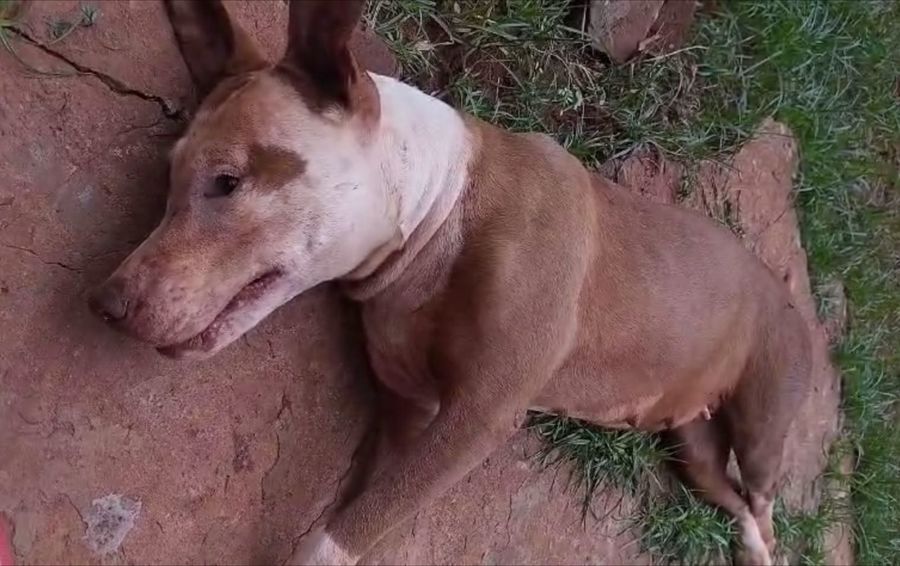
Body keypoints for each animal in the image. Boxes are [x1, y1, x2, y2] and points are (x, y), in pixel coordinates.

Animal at [89, 2, 816, 564]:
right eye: (168, 179)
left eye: (228, 181)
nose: (105, 304)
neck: (442, 211)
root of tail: (778, 285)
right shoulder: (409, 413)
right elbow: (355, 511)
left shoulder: (478, 418)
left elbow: (338, 537)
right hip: (693, 447)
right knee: (735, 499)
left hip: (762, 423)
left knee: (765, 499)